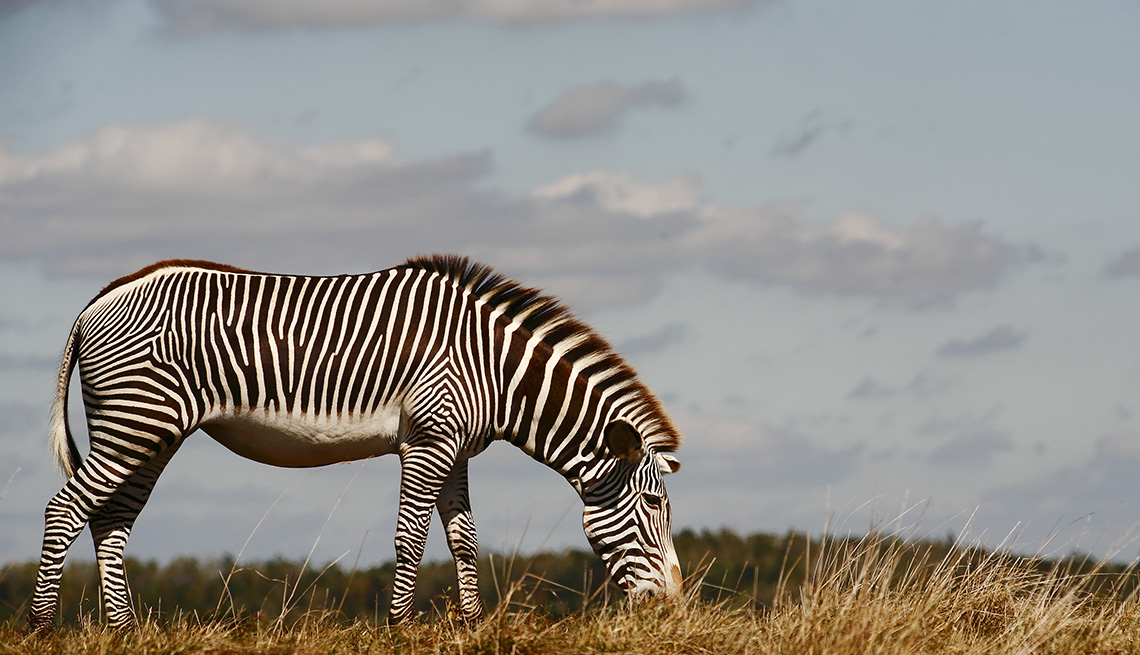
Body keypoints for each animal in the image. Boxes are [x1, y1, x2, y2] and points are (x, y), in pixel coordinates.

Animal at [28, 255, 683, 630]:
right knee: (65, 509)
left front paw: (473, 627)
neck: (496, 370)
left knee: (110, 520)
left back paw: (123, 631)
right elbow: (410, 537)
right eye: (654, 505)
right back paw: (42, 627)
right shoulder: (429, 437)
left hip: (150, 432)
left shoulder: (457, 448)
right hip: (136, 422)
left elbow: (463, 540)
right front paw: (398, 630)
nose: (672, 606)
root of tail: (101, 295)